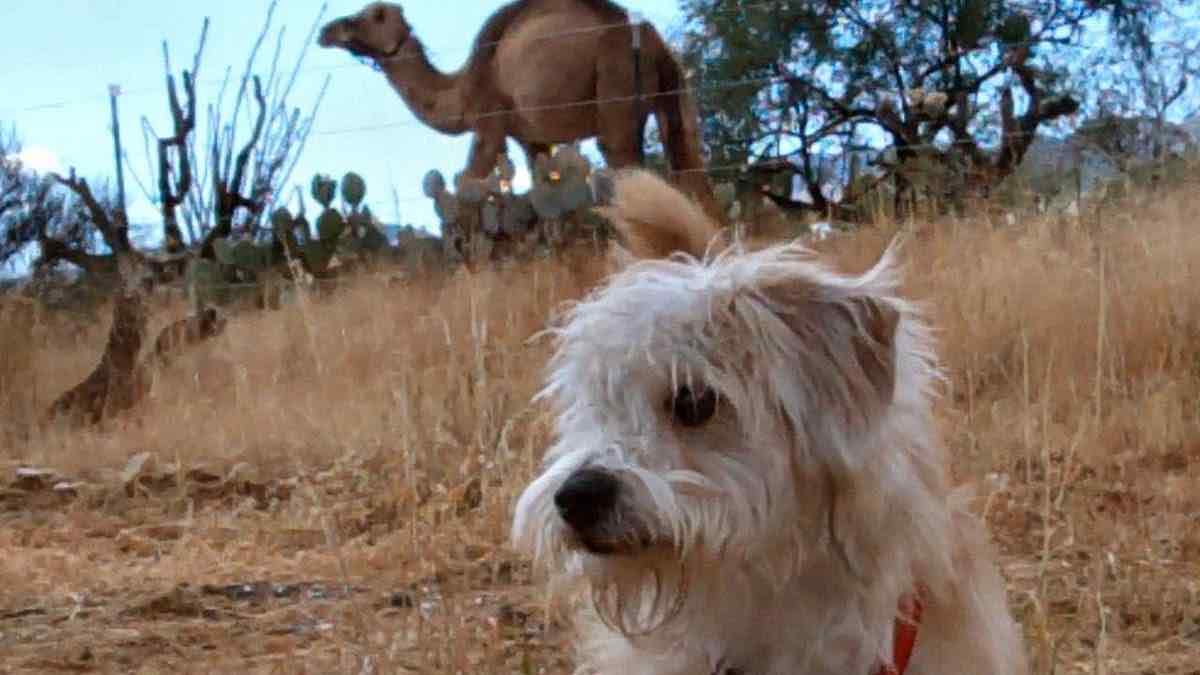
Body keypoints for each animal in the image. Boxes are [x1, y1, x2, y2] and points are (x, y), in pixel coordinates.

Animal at [319, 0, 720, 220]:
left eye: (374, 15)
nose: (327, 30)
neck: (462, 87)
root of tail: (654, 41)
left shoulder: (490, 123)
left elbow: (468, 184)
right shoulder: (532, 138)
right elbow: (543, 182)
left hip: (615, 77)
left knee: (628, 161)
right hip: (674, 94)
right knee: (690, 165)